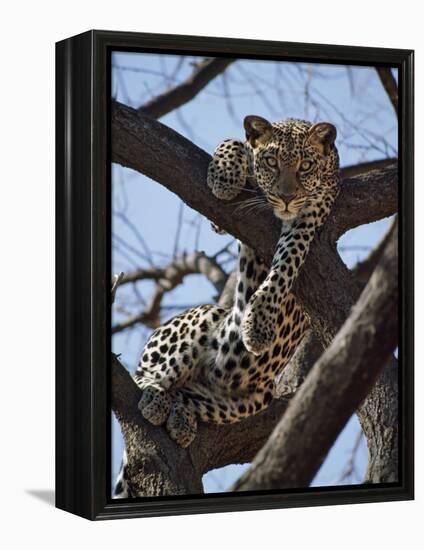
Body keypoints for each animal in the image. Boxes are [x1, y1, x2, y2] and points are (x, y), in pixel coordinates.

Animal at [114, 115, 340, 500]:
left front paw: (259, 324)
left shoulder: (312, 212)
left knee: (187, 394)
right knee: (146, 375)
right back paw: (154, 397)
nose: (285, 197)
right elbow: (233, 142)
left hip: (248, 399)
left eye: (306, 166)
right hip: (203, 317)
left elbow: (287, 262)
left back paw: (180, 416)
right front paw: (223, 176)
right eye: (271, 162)